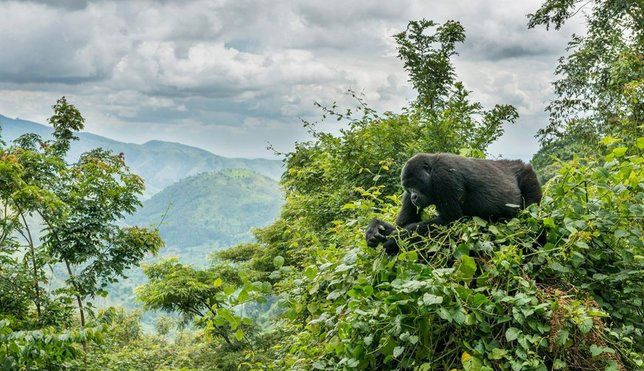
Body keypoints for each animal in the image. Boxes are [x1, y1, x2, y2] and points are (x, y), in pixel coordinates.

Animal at [364, 153, 540, 254]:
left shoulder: (444, 175)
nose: (413, 196)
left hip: (528, 177)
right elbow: (405, 222)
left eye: (414, 184)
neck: (432, 168)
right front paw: (376, 227)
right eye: (408, 187)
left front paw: (394, 239)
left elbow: (450, 220)